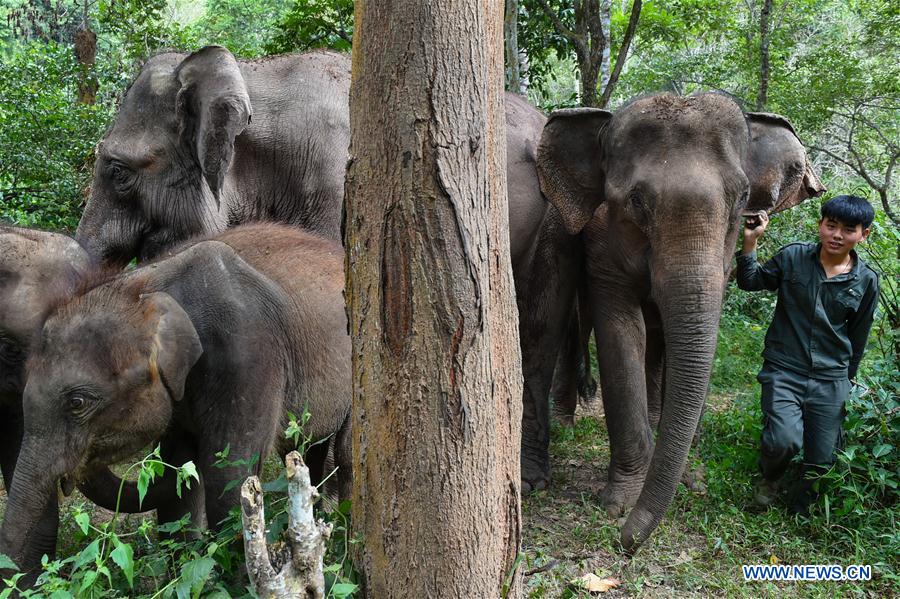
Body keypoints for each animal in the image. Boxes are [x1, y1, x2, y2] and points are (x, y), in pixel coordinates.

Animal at [0, 223, 352, 575]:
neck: (146, 288)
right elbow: (181, 477)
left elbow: (228, 476)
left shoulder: (249, 355)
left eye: (78, 403)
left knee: (346, 452)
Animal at [533, 92, 825, 551]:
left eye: (743, 197)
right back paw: (568, 423)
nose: (626, 544)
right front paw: (619, 503)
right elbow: (621, 332)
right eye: (635, 202)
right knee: (580, 326)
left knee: (657, 342)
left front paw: (693, 482)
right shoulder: (602, 248)